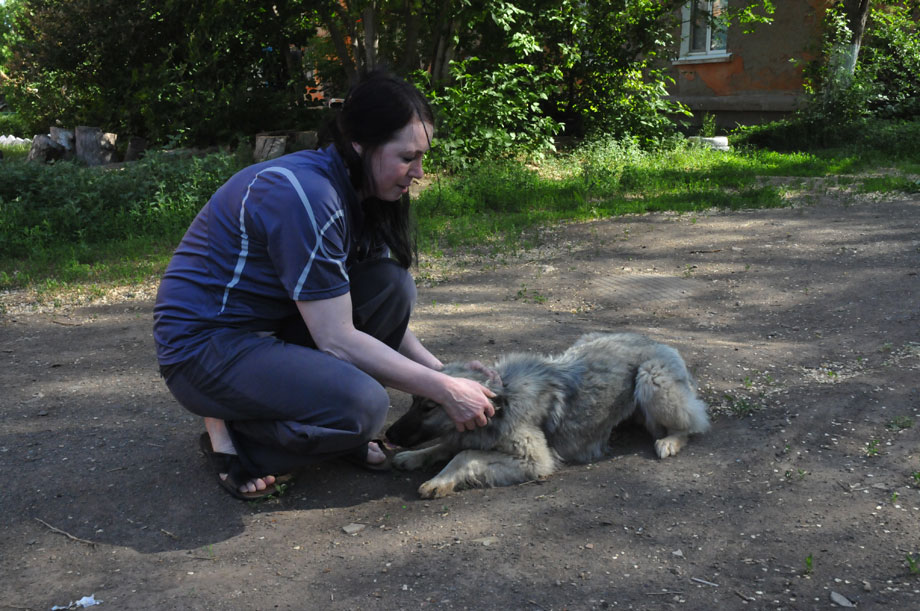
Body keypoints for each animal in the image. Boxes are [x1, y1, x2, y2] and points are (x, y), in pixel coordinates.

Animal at [386, 332, 712, 500]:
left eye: (429, 407)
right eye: (414, 401)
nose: (388, 435)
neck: (503, 400)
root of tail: (657, 341)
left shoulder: (534, 460)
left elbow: (464, 455)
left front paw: (439, 480)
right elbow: (445, 445)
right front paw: (414, 457)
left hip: (652, 380)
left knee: (693, 423)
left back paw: (669, 441)